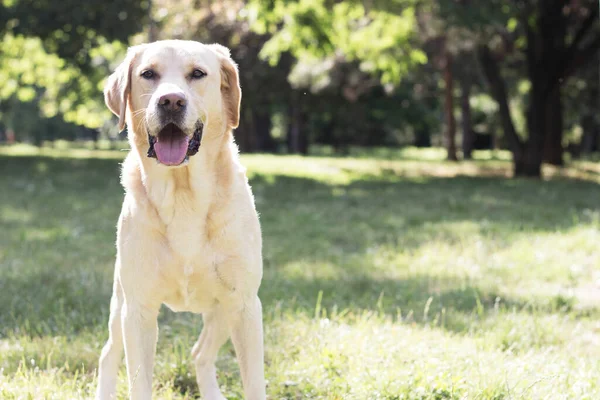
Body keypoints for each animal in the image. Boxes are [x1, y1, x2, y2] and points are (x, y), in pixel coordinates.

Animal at [95, 40, 264, 400]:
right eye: (148, 74)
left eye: (197, 74)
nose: (171, 101)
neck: (183, 194)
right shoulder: (138, 310)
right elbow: (139, 382)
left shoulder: (244, 305)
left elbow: (255, 384)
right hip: (119, 308)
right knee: (108, 354)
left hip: (221, 311)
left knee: (200, 354)